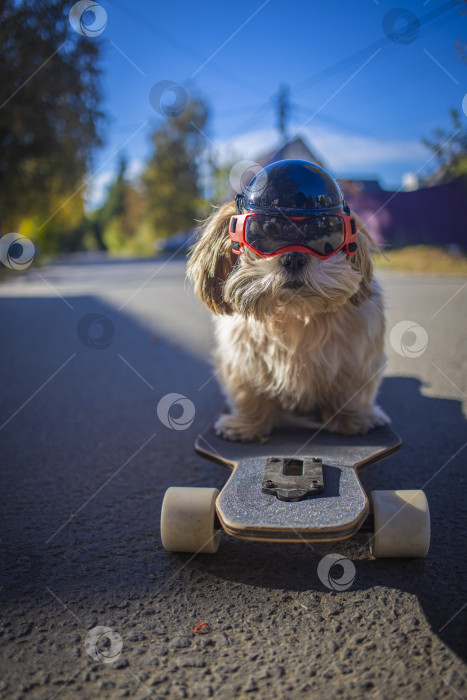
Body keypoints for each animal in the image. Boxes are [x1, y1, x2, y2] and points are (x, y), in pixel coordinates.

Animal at [188, 161, 390, 440]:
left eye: (324, 230)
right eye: (266, 231)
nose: (294, 257)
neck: (295, 312)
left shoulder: (358, 359)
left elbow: (350, 391)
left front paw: (355, 419)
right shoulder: (242, 362)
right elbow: (249, 393)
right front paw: (248, 424)